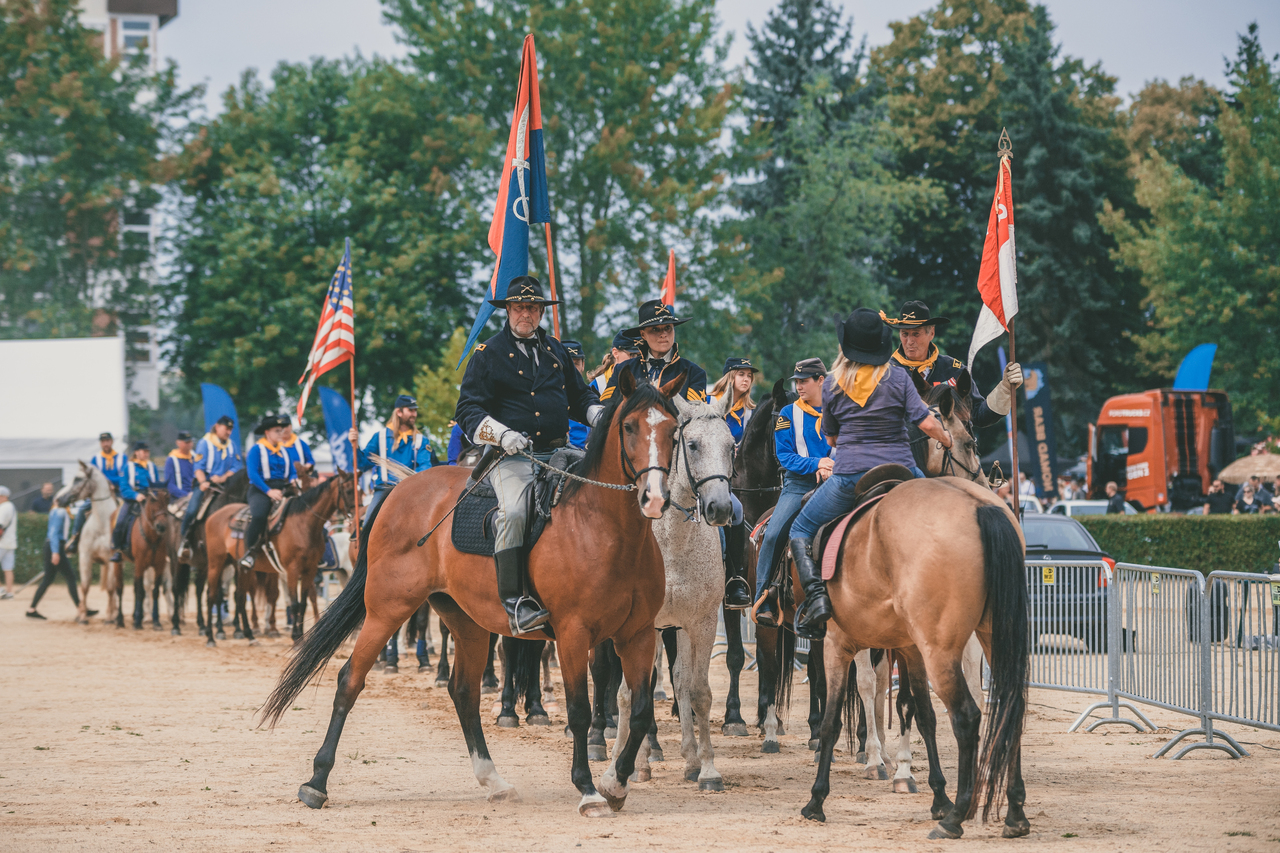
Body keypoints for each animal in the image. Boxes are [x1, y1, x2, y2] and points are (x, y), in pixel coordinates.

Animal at [70, 462, 120, 624]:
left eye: (78, 479)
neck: (102, 523)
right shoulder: (85, 556)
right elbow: (85, 586)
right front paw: (82, 617)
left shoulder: (111, 559)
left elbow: (110, 588)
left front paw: (110, 618)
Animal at [262, 371, 685, 816]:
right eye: (629, 427)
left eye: (673, 431)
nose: (654, 497)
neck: (602, 527)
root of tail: (401, 489)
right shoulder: (573, 634)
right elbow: (580, 711)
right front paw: (587, 790)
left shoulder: (638, 635)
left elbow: (640, 710)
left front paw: (615, 784)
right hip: (386, 609)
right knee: (350, 679)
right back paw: (316, 783)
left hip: (467, 622)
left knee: (463, 691)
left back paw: (493, 780)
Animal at [606, 392, 736, 791]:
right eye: (691, 445)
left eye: (732, 446)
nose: (719, 508)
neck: (673, 543)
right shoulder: (639, 627)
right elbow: (629, 694)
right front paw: (626, 765)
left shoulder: (701, 623)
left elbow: (697, 691)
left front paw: (707, 769)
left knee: (678, 681)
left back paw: (688, 759)